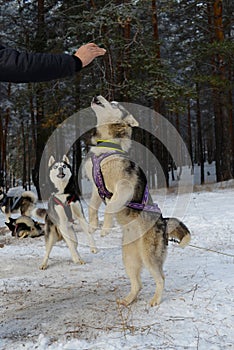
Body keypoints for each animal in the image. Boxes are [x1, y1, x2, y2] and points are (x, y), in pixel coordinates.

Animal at [85, 96, 191, 306]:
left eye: (114, 103)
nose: (97, 97)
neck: (106, 144)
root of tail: (163, 222)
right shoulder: (95, 188)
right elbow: (93, 207)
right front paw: (92, 225)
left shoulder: (124, 186)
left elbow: (110, 206)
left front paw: (105, 228)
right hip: (129, 258)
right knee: (138, 284)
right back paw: (128, 299)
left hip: (148, 256)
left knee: (161, 278)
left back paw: (156, 300)